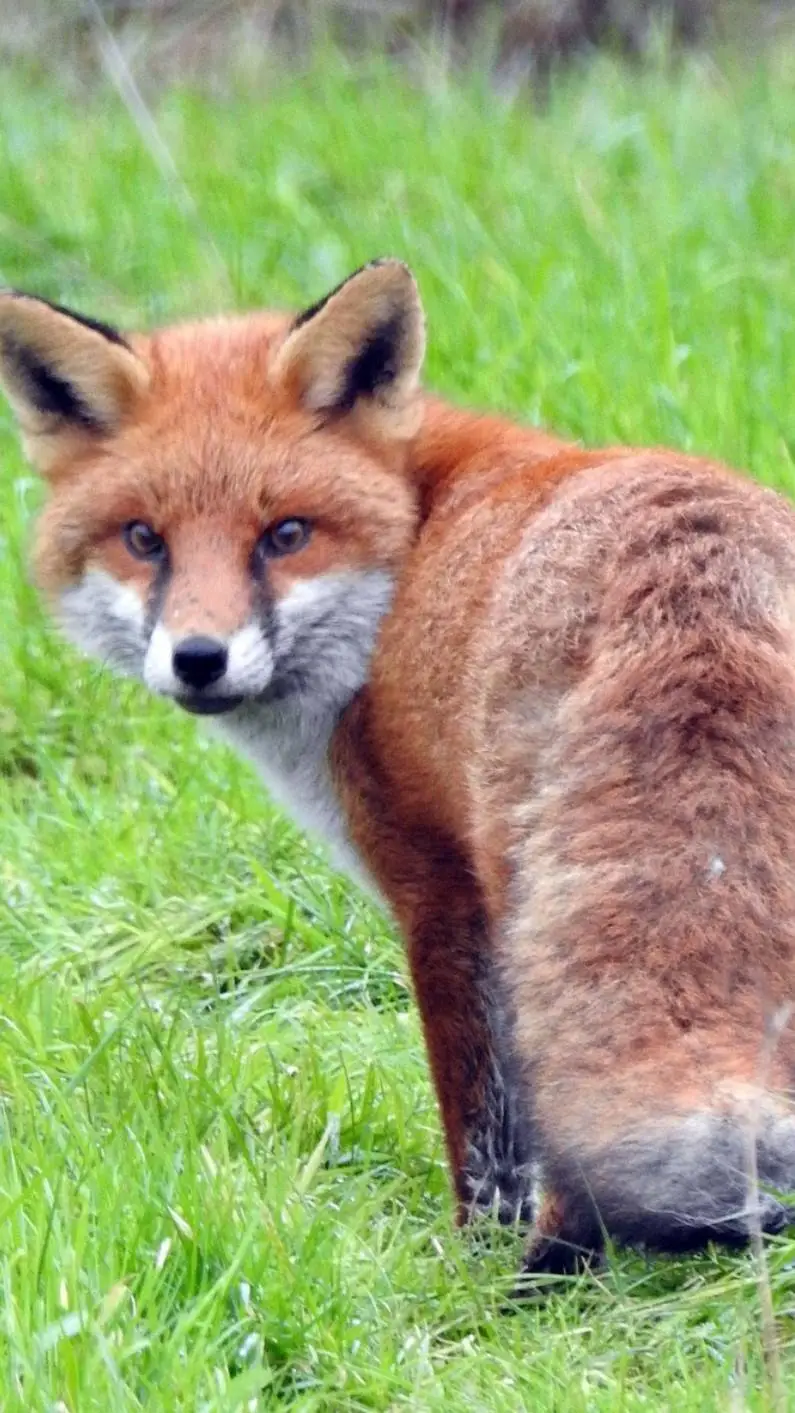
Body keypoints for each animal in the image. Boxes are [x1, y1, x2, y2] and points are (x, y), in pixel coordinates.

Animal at [3, 262, 795, 1281]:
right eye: (145, 539)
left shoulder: (435, 885)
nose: (199, 659)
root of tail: (694, 564)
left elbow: (483, 1126)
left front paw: (473, 1258)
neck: (411, 545)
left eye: (285, 533)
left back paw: (549, 1266)